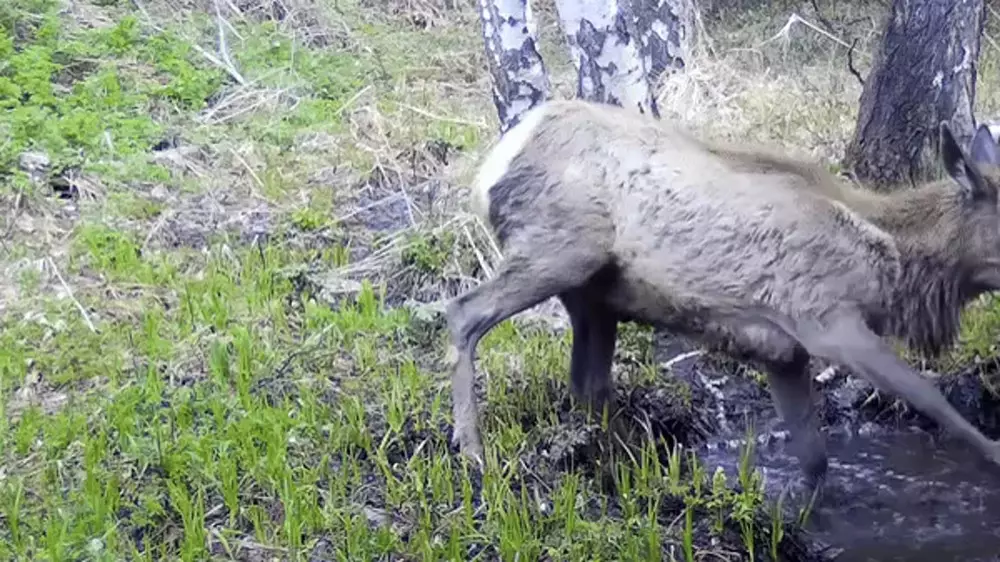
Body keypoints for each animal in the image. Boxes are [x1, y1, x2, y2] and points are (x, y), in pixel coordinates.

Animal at [444, 97, 1000, 490]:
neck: (894, 271)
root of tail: (490, 167)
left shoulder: (784, 353)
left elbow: (816, 460)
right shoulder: (825, 322)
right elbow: (931, 397)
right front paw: (993, 455)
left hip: (593, 295)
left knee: (587, 382)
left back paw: (631, 467)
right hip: (559, 251)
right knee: (463, 312)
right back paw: (473, 452)